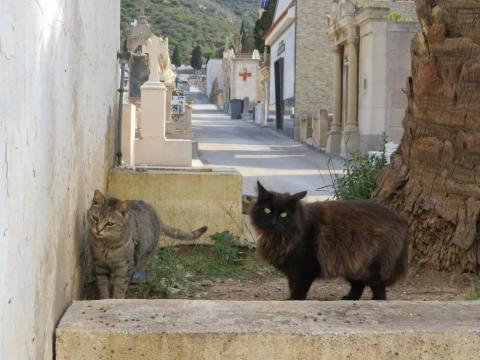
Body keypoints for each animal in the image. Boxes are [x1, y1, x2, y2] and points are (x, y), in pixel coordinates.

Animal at [251, 183, 408, 300]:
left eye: (284, 214)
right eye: (267, 211)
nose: (273, 222)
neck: (278, 238)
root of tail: (400, 221)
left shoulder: (304, 267)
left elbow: (299, 289)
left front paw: (293, 301)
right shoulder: (292, 269)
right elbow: (292, 286)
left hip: (369, 265)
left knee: (379, 287)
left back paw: (375, 301)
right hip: (351, 264)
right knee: (359, 284)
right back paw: (349, 298)